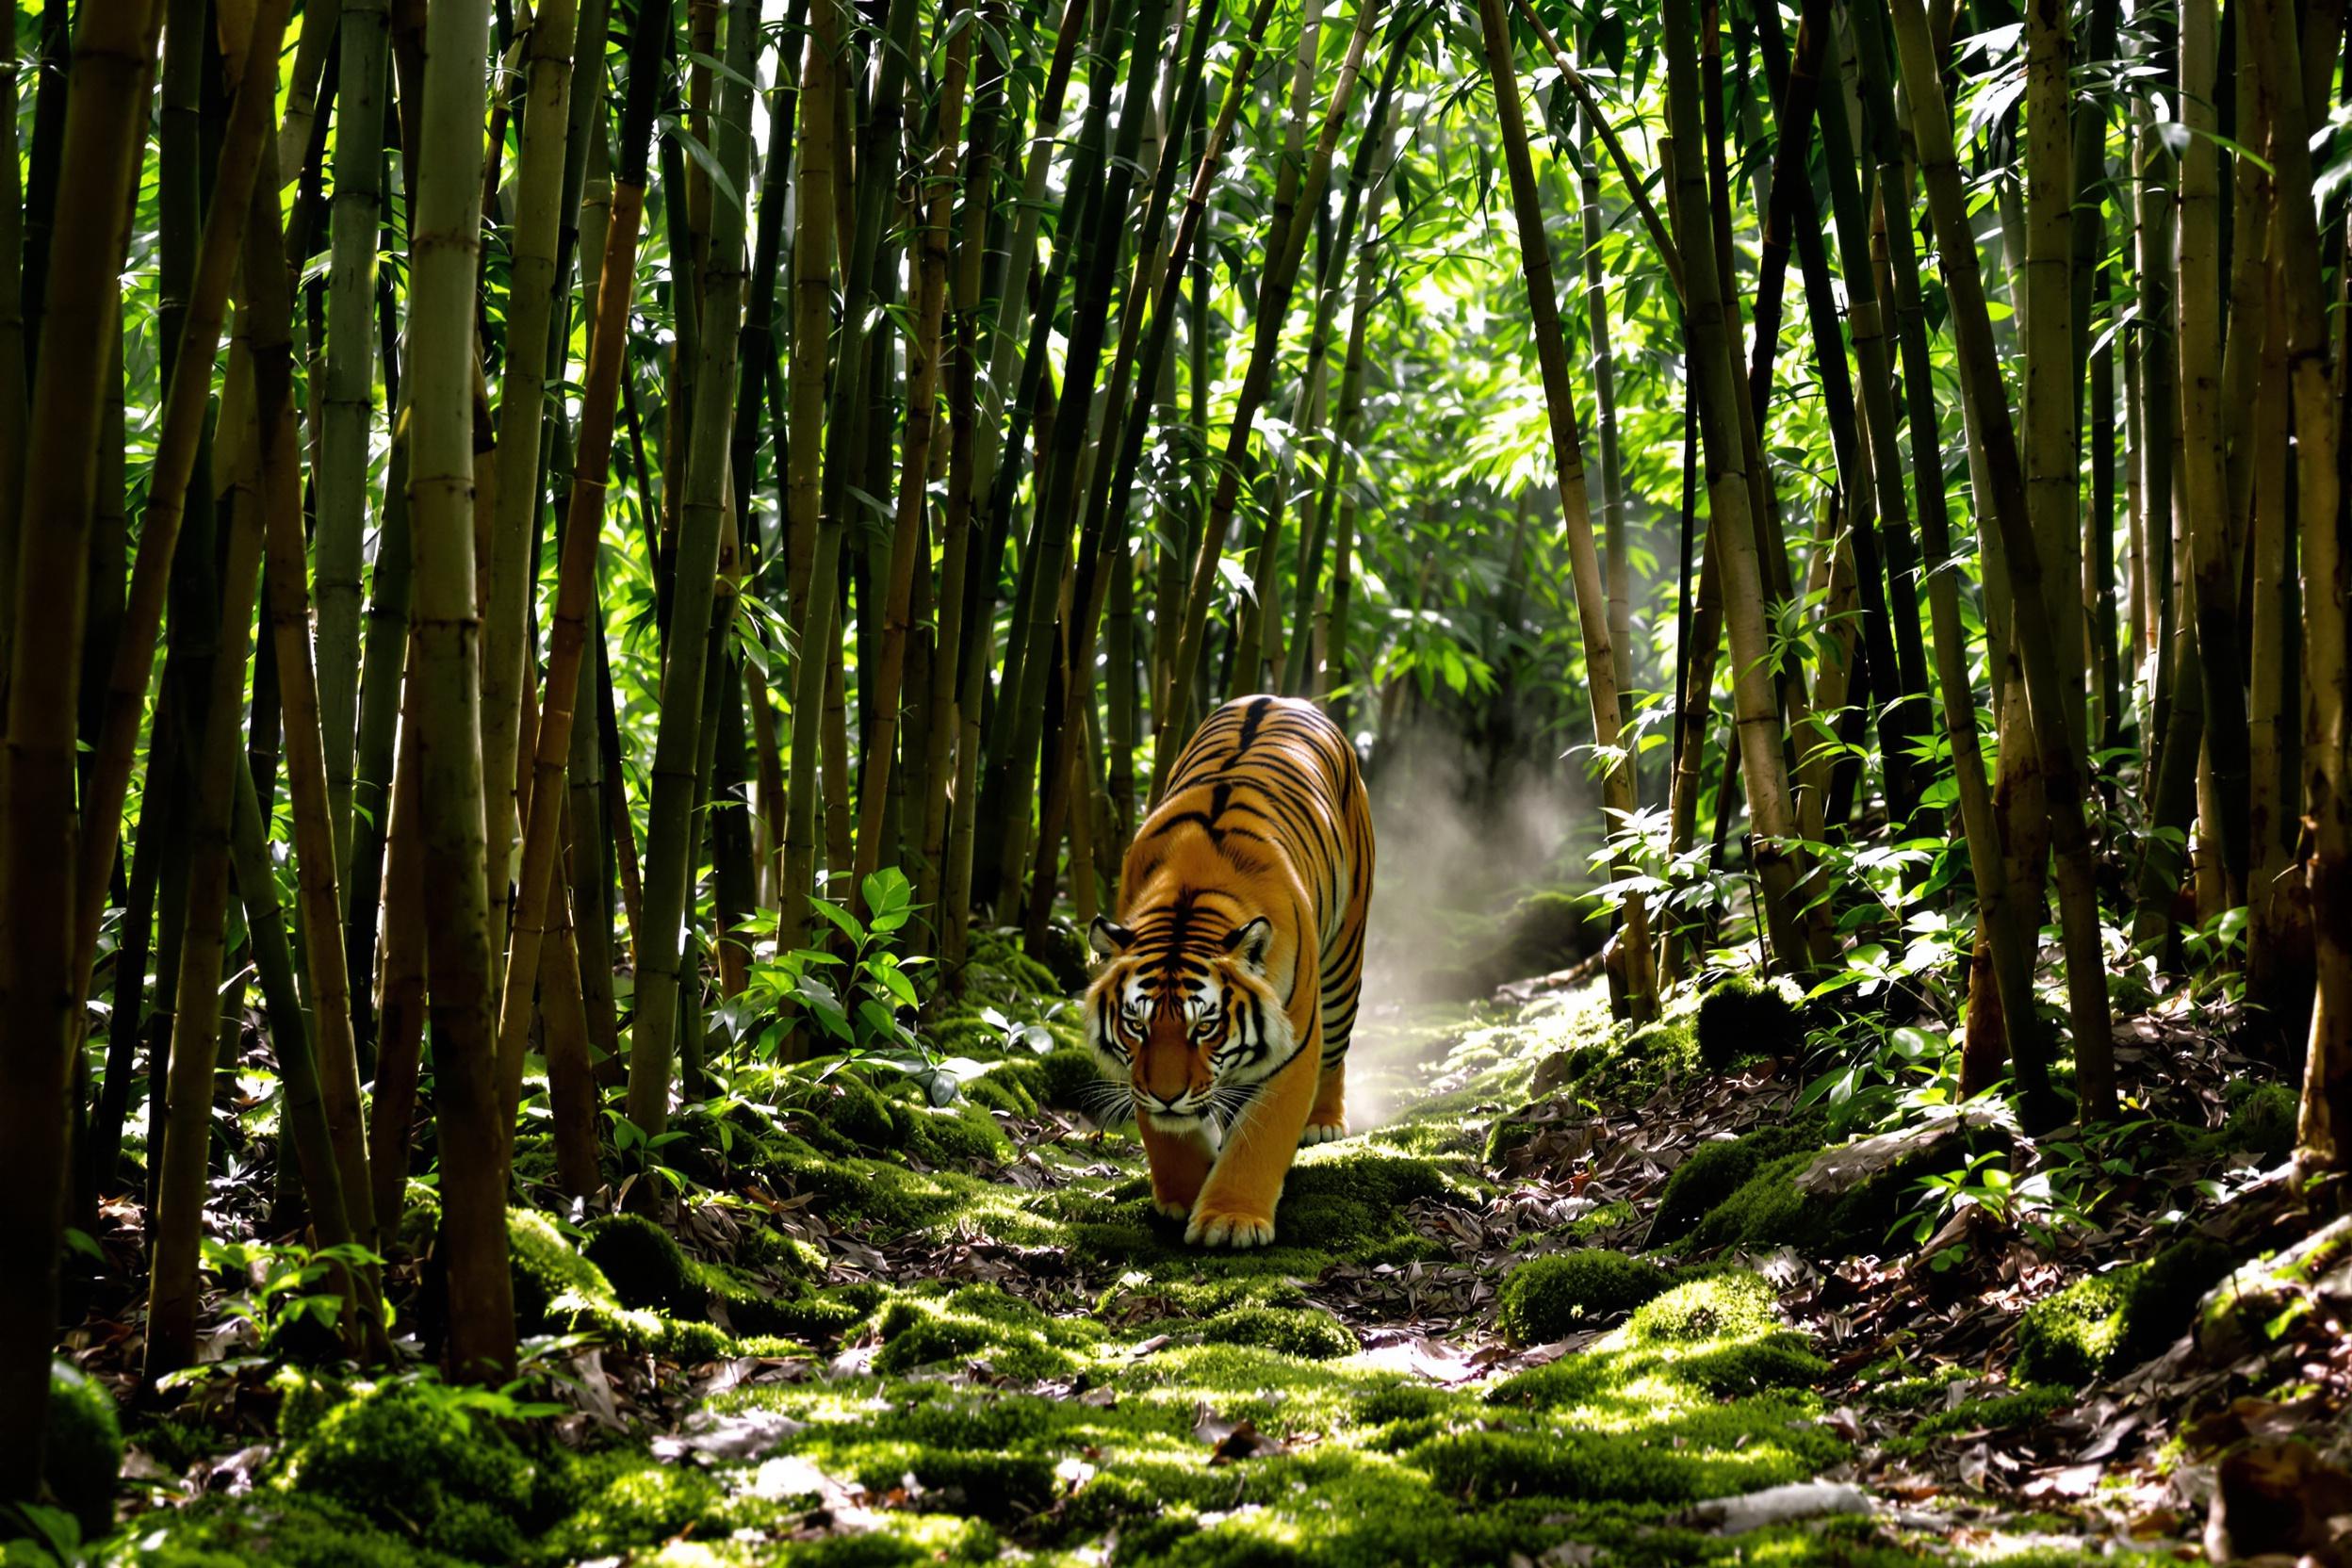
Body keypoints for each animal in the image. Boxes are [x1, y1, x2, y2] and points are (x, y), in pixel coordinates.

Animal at [1077, 700, 1373, 1250]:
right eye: (1136, 1025)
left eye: (1206, 1027)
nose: (1168, 1095)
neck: (1187, 902)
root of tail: (1279, 698)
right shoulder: (1140, 1072)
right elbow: (1166, 1134)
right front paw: (1185, 1195)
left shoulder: (1293, 1049)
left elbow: (1260, 1138)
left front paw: (1230, 1220)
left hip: (1343, 961)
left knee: (1337, 1051)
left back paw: (1323, 1122)